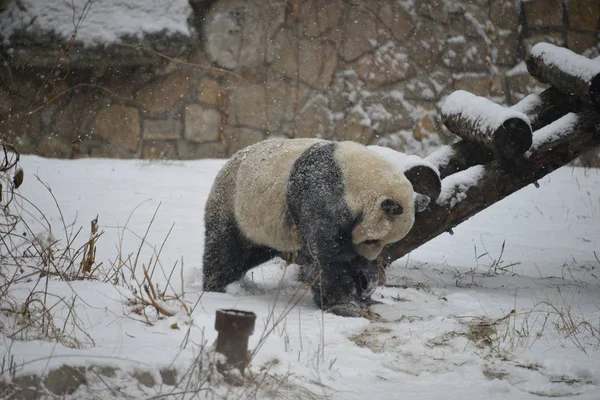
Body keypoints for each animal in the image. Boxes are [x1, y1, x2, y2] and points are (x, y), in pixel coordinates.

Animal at [202, 138, 426, 316]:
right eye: (372, 240)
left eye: (386, 243)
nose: (369, 257)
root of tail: (227, 163)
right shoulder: (322, 195)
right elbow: (329, 256)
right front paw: (344, 304)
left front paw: (367, 287)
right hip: (236, 204)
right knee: (226, 250)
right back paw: (217, 285)